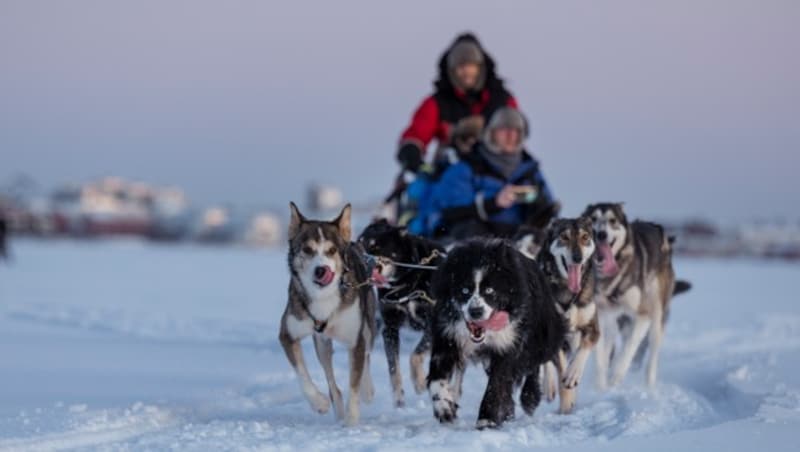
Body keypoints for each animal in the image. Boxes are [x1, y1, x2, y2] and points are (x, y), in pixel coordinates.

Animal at [360, 221, 446, 408]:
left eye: (375, 246)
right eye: (359, 244)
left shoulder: (434, 325)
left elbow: (415, 355)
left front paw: (419, 382)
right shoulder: (390, 328)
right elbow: (394, 368)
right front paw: (398, 399)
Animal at [428, 238, 564, 430]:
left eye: (490, 290)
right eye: (464, 290)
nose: (476, 311)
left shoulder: (508, 340)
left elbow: (497, 383)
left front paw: (486, 420)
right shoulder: (448, 333)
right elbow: (436, 377)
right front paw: (444, 409)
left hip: (543, 331)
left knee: (535, 361)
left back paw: (529, 398)